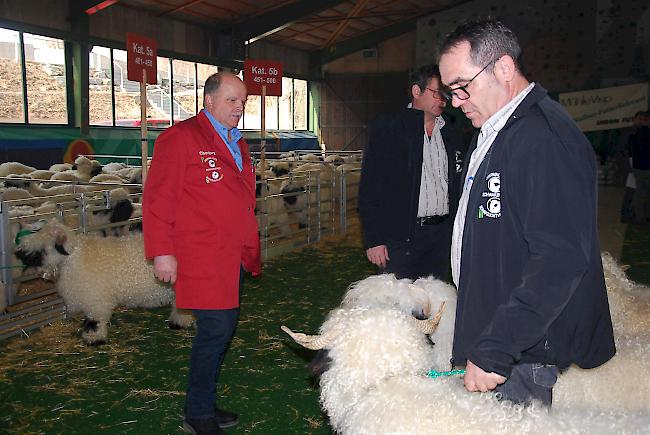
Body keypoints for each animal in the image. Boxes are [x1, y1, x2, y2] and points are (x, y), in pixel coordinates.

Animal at [13, 220, 192, 346]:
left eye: (42, 244)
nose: (18, 253)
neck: (74, 258)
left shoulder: (95, 300)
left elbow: (94, 321)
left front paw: (93, 339)